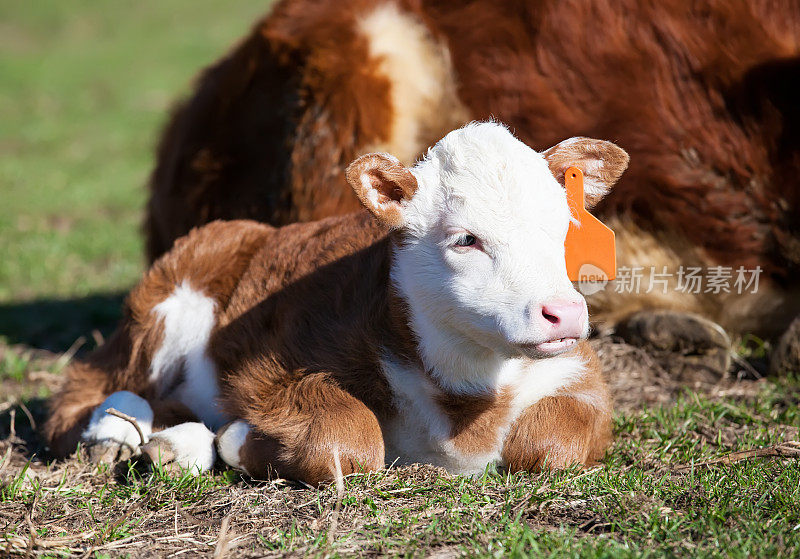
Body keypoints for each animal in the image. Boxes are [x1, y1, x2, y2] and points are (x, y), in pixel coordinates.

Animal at [47, 124, 628, 484]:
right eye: (466, 239)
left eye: (563, 229)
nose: (565, 312)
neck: (467, 401)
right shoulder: (267, 367)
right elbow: (347, 441)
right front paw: (240, 437)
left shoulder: (582, 375)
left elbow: (554, 444)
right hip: (163, 307)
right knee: (87, 386)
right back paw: (115, 433)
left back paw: (174, 445)